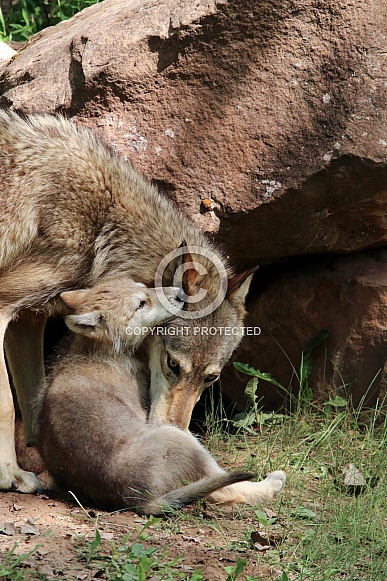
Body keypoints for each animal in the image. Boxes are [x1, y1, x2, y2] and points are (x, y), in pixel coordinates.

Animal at [1, 109, 256, 490]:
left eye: (210, 378)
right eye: (172, 365)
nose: (175, 432)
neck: (102, 229)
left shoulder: (28, 319)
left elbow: (35, 400)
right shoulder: (4, 304)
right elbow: (5, 403)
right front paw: (9, 473)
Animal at [38, 276, 286, 512]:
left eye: (143, 286)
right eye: (140, 304)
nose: (179, 293)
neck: (98, 350)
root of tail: (137, 502)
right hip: (179, 438)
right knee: (227, 489)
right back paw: (272, 483)